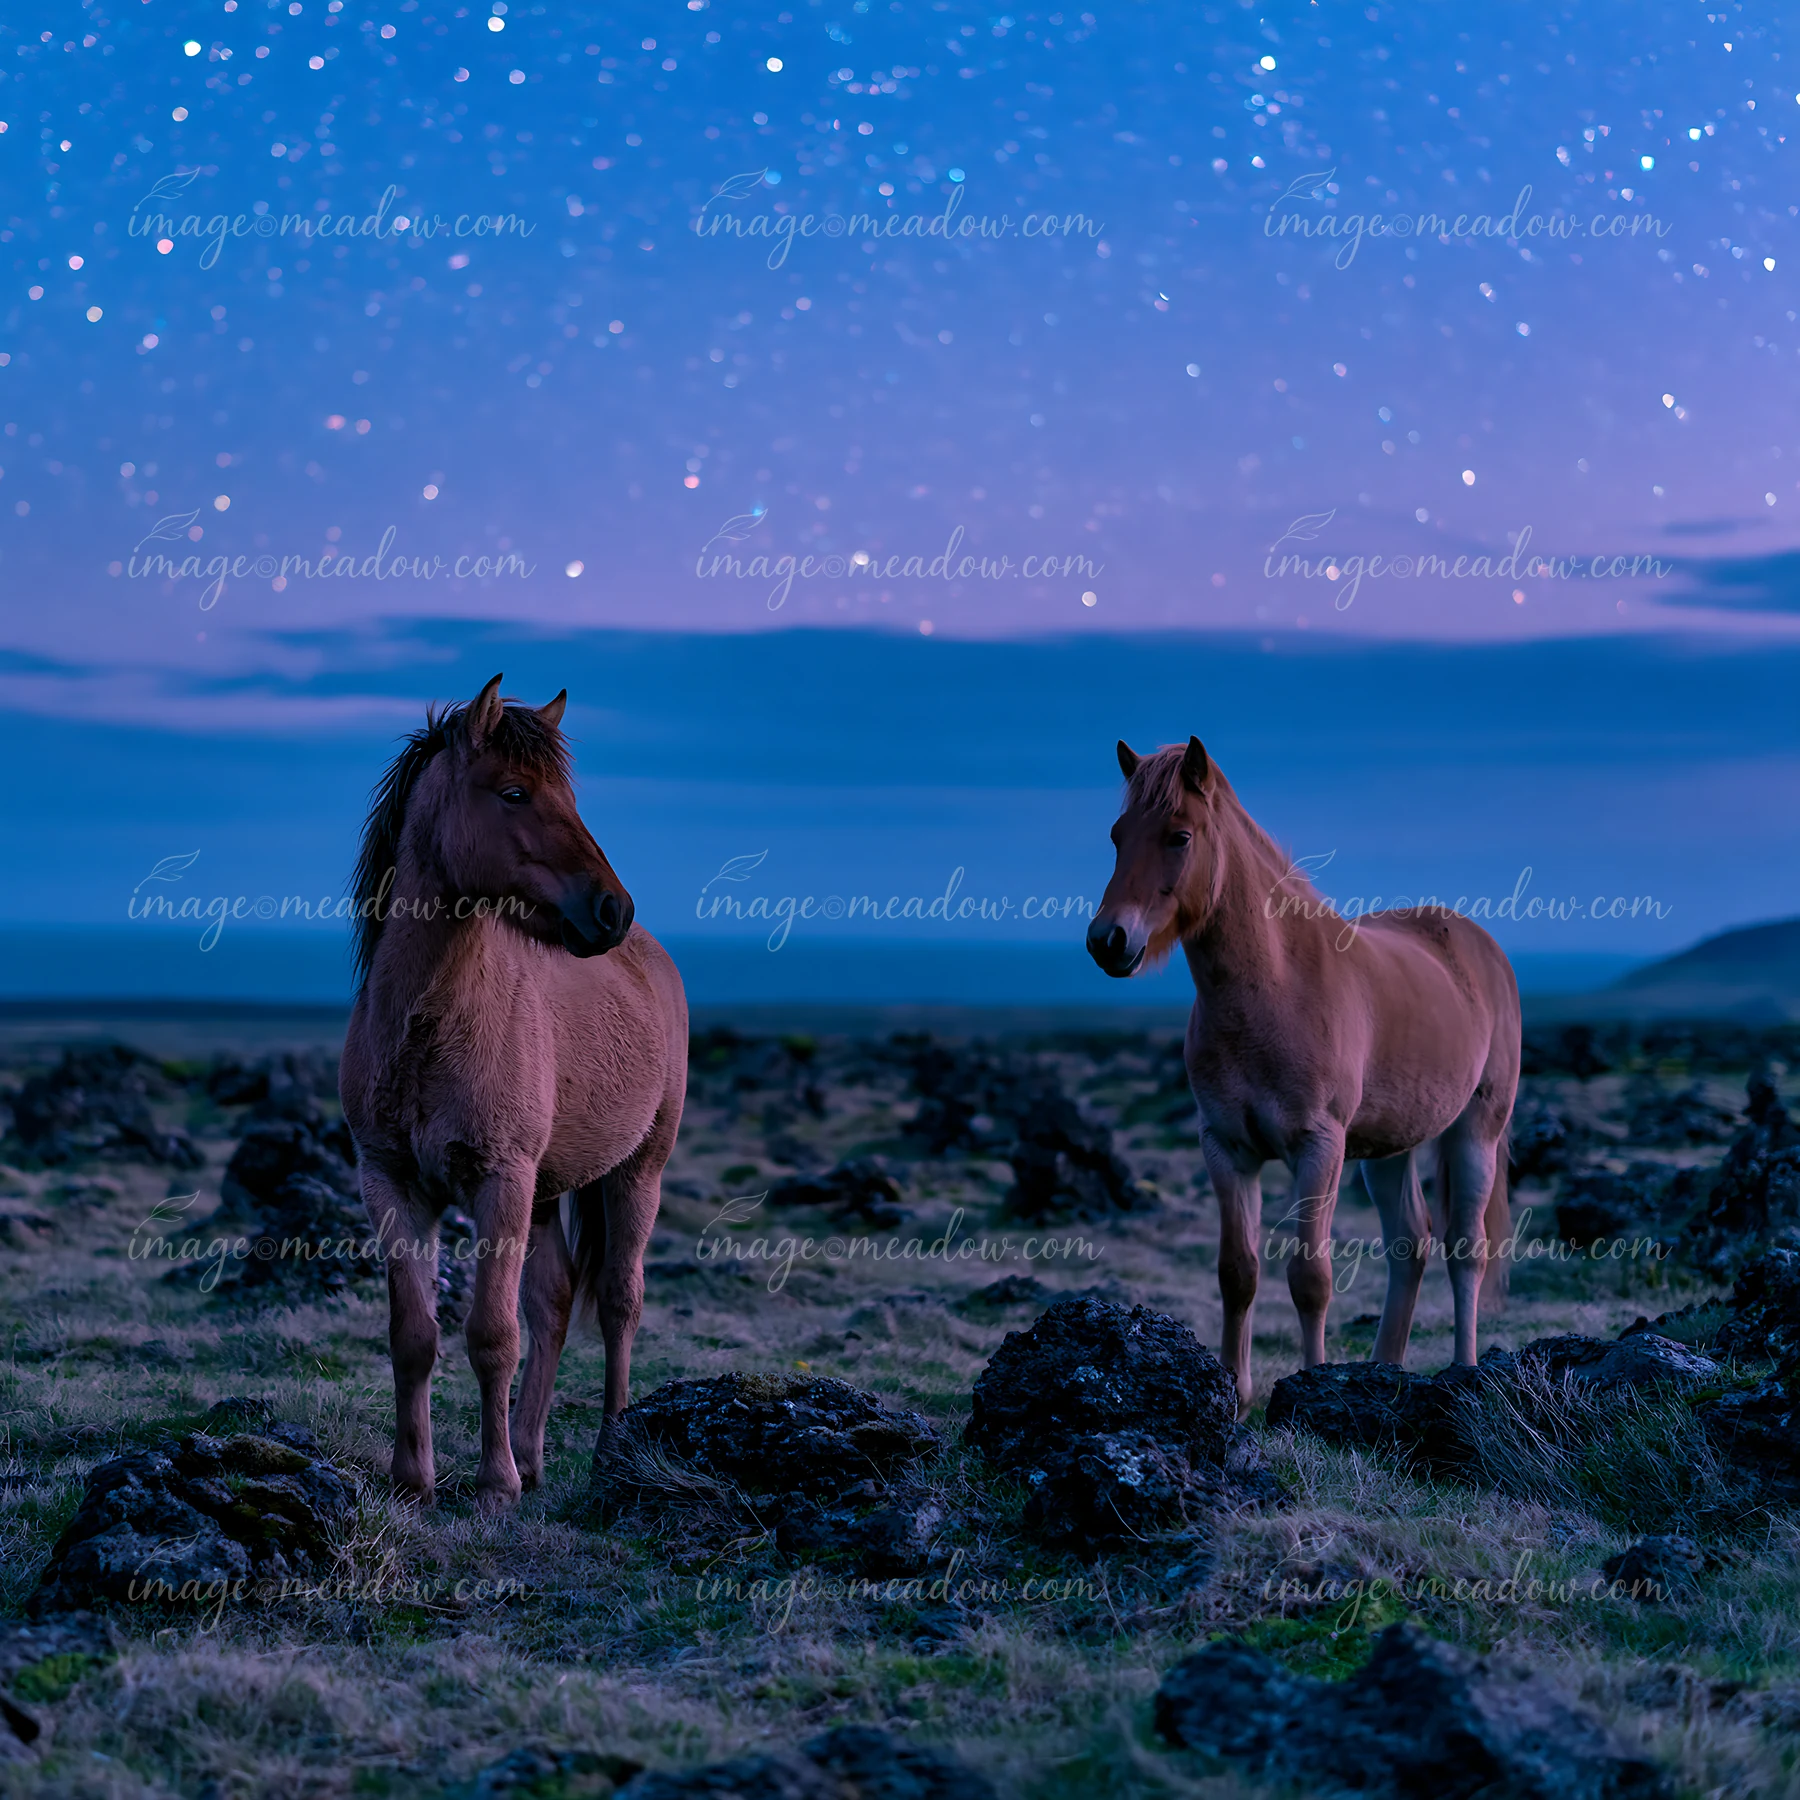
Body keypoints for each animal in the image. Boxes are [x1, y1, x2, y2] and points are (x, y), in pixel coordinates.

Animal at [339, 674, 687, 1510]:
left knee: (619, 1301)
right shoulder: (392, 1184)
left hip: (636, 1173)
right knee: (554, 1303)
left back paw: (608, 1452)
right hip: (546, 1191)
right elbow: (415, 1336)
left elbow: (492, 1336)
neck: (431, 1024)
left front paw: (493, 1484)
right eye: (514, 792)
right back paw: (530, 1453)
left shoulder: (500, 1180)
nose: (611, 909)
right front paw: (414, 1478)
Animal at [1086, 736, 1518, 1411]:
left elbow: (1310, 1277)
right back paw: (1383, 1369)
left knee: (1465, 1249)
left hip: (1476, 1132)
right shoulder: (1227, 1149)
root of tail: (1480, 945)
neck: (1276, 989)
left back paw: (1464, 1369)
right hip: (1390, 1147)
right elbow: (1237, 1272)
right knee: (1410, 1245)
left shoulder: (1318, 1147)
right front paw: (1236, 1396)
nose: (1108, 940)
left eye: (1179, 836)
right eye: (1117, 834)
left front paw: (1311, 1385)